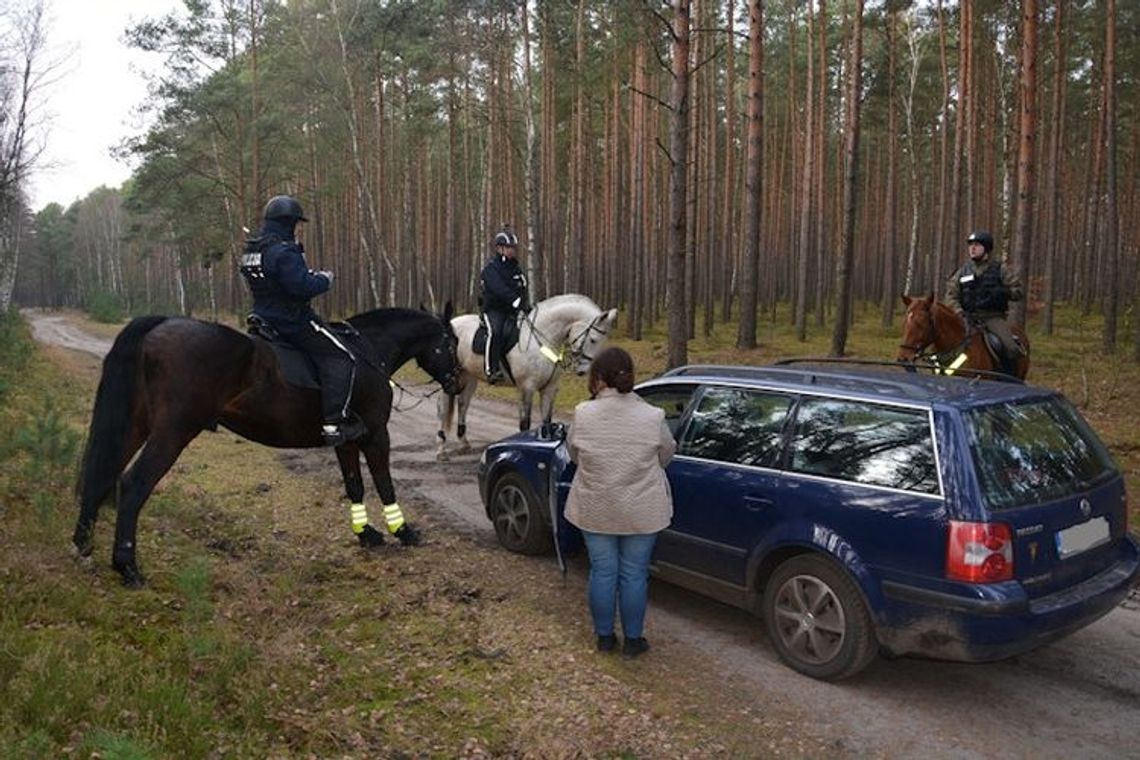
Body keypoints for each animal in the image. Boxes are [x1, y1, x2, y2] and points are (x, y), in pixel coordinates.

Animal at [74, 305, 462, 587]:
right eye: (451, 343)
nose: (457, 382)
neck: (367, 351)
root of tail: (161, 325)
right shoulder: (377, 434)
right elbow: (384, 482)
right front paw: (404, 531)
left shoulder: (346, 438)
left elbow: (354, 484)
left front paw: (365, 533)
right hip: (174, 430)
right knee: (133, 484)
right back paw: (127, 568)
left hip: (136, 423)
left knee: (101, 475)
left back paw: (83, 546)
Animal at [435, 293, 615, 458]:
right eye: (593, 339)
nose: (583, 370)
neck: (543, 339)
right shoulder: (526, 388)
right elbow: (525, 424)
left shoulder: (549, 389)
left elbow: (546, 422)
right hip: (448, 378)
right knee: (443, 409)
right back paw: (441, 448)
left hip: (470, 378)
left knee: (463, 404)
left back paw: (463, 442)